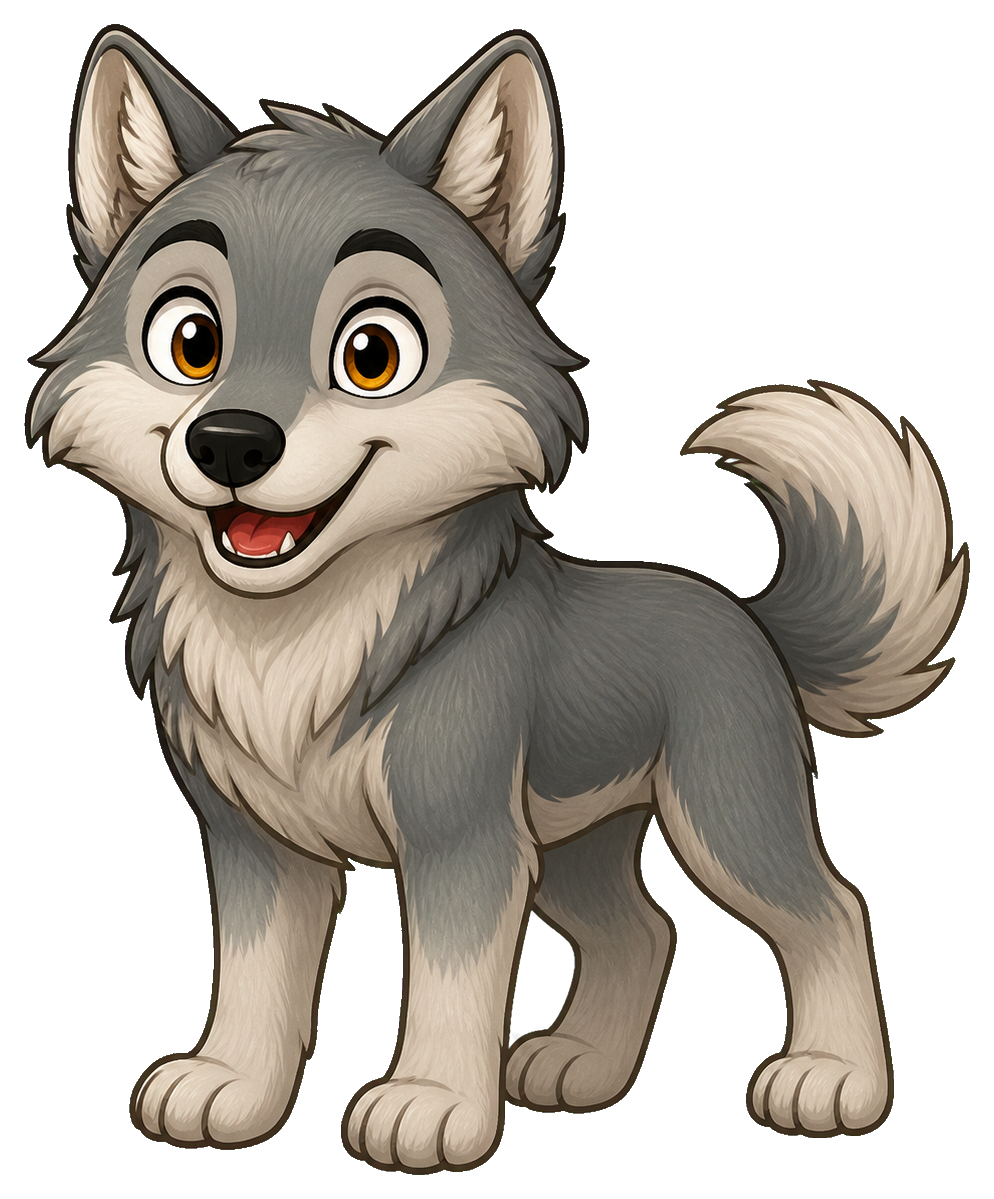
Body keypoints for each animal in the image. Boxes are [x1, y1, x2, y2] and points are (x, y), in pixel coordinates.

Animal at [29, 28, 965, 1168]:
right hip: (571, 845)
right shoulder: (258, 843)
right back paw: (582, 1065)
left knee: (830, 908)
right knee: (642, 929)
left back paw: (834, 1079)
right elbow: (256, 980)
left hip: (719, 820)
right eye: (191, 341)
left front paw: (431, 1103)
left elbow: (450, 983)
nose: (233, 443)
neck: (296, 641)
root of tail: (744, 617)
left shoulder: (463, 839)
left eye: (372, 353)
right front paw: (234, 1086)